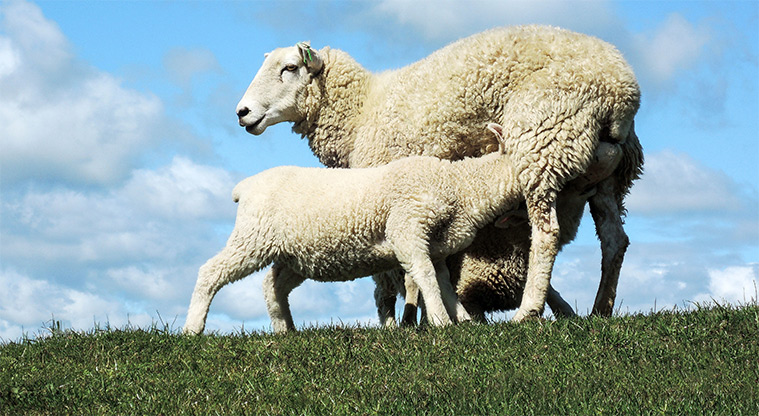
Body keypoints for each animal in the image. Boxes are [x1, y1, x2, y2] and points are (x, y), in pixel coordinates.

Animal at [185, 123, 531, 334]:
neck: (460, 185)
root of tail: (244, 187)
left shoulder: (435, 246)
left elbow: (443, 282)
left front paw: (462, 320)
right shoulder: (407, 229)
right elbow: (425, 278)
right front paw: (442, 321)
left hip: (294, 254)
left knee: (273, 286)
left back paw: (286, 330)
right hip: (252, 237)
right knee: (210, 271)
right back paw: (193, 328)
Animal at [235, 25, 644, 322]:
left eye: (290, 68)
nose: (242, 113)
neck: (362, 110)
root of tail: (618, 90)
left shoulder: (379, 192)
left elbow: (393, 279)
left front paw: (401, 324)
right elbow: (423, 267)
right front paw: (425, 318)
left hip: (543, 139)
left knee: (546, 234)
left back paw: (528, 311)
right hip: (608, 176)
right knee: (614, 241)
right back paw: (600, 310)